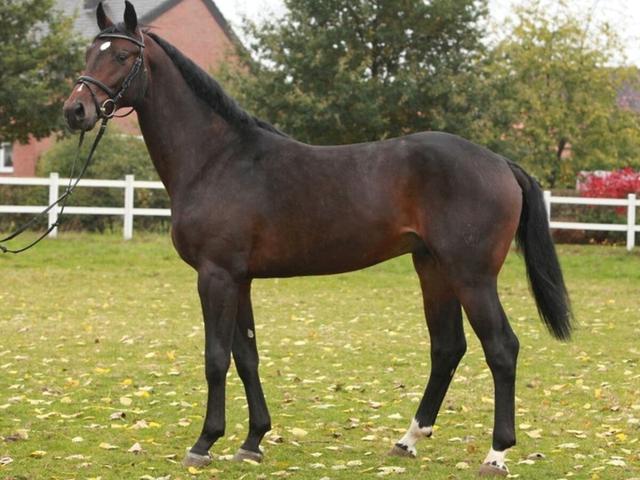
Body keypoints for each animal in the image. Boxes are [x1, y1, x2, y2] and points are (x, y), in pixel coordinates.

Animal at [62, 2, 572, 476]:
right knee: (447, 348)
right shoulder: (240, 279)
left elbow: (216, 358)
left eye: (123, 55)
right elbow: (246, 356)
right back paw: (407, 440)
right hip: (433, 268)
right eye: (89, 52)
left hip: (472, 276)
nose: (75, 110)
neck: (217, 160)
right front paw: (252, 441)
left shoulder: (216, 276)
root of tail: (500, 163)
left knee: (501, 348)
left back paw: (496, 453)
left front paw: (204, 443)